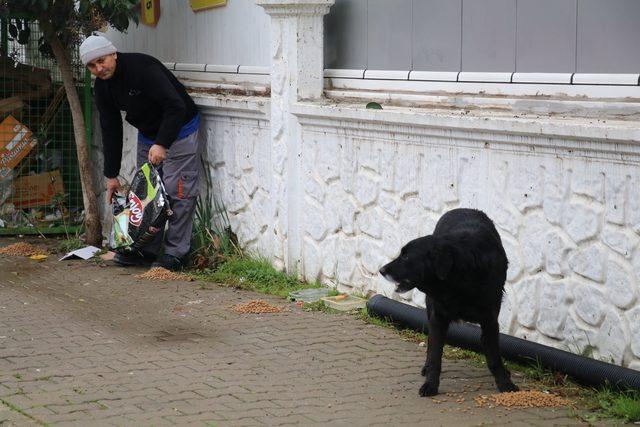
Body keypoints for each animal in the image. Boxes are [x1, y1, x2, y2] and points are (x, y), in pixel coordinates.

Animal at [380, 209, 520, 396]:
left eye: (406, 256)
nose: (381, 270)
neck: (460, 278)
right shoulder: (438, 317)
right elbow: (435, 355)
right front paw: (430, 384)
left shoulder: (490, 321)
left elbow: (495, 357)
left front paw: (505, 383)